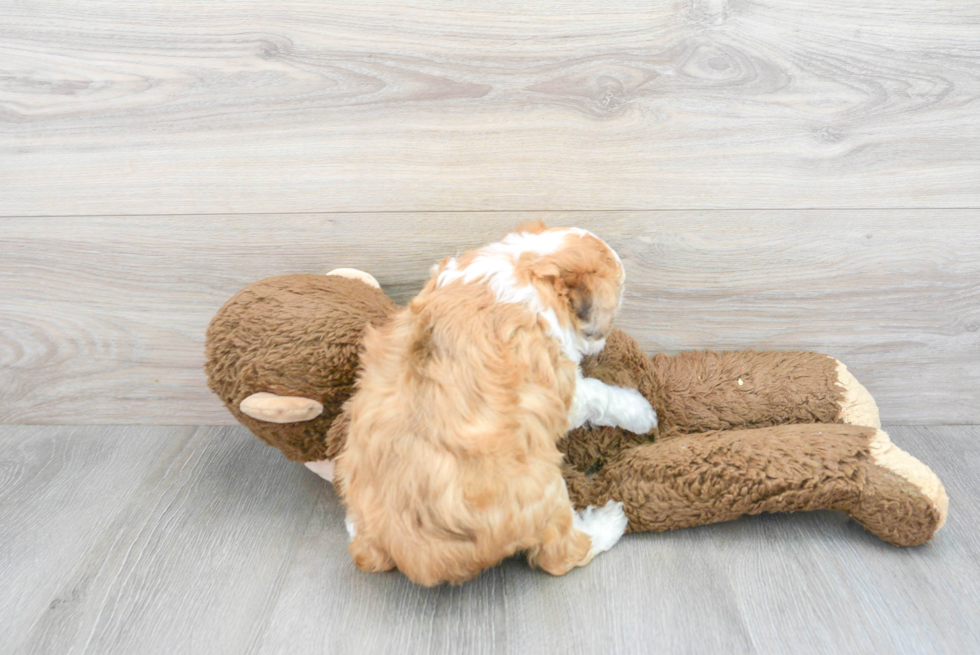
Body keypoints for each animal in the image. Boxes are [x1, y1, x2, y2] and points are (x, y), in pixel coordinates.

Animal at [336, 223, 660, 588]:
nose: (603, 340)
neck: (532, 265)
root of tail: (407, 551)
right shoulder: (559, 386)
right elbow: (598, 394)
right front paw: (641, 411)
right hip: (542, 490)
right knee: (562, 553)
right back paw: (610, 521)